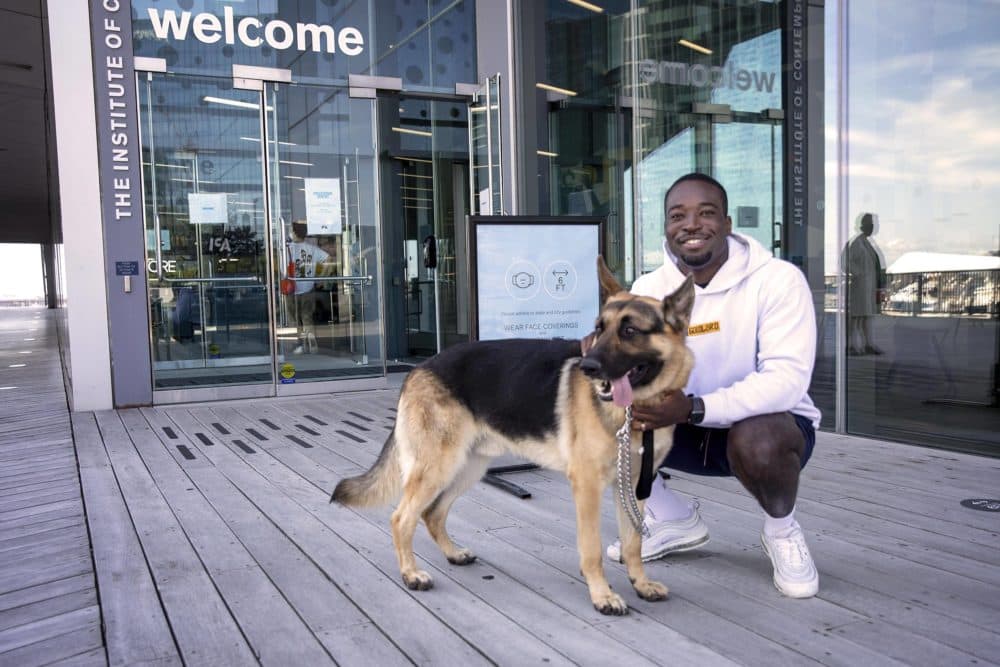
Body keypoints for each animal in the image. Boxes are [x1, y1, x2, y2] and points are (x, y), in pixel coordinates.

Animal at [332, 260, 692, 616]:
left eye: (630, 331)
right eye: (599, 329)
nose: (588, 367)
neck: (634, 409)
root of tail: (419, 368)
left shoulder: (632, 486)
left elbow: (633, 542)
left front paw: (641, 584)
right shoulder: (587, 486)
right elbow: (592, 547)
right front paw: (602, 595)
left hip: (467, 468)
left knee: (432, 513)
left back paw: (453, 554)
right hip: (438, 468)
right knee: (401, 518)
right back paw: (411, 574)